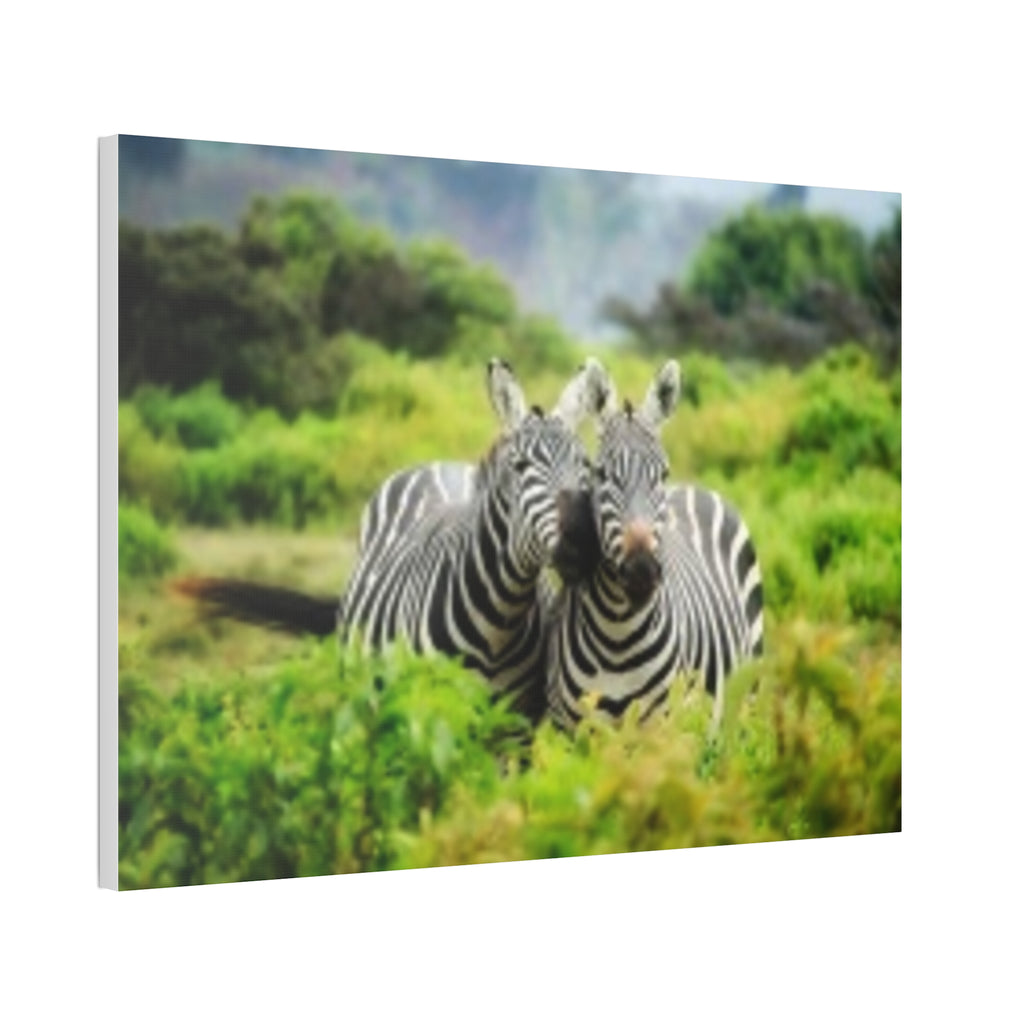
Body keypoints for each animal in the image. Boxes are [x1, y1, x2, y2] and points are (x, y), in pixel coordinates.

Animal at [337, 356, 605, 720]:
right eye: (520, 466)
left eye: (586, 465)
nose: (582, 543)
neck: (498, 624)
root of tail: (439, 463)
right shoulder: (427, 709)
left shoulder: (519, 719)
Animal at [545, 359, 764, 730]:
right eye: (601, 473)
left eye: (662, 474)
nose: (641, 571)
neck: (617, 635)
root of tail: (695, 488)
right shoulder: (571, 728)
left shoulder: (661, 726)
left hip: (744, 699)